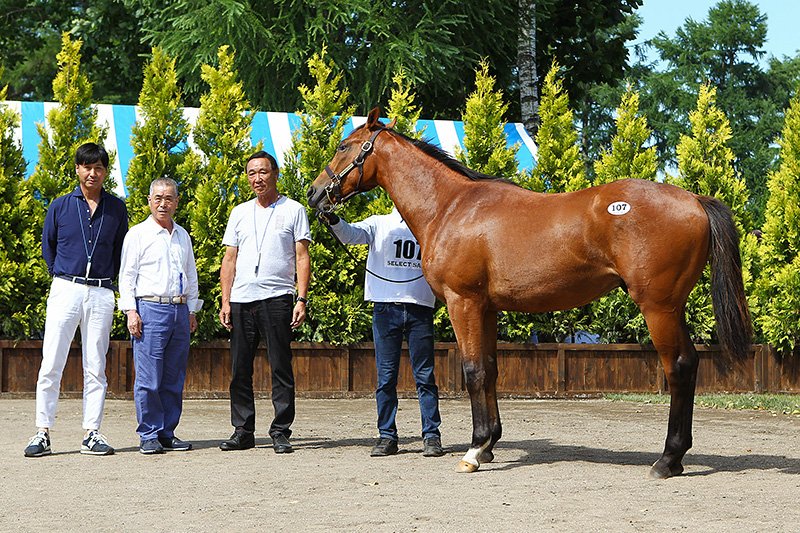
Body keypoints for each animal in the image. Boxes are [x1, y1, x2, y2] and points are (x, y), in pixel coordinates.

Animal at [307, 108, 752, 478]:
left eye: (344, 146)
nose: (314, 193)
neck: (451, 206)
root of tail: (694, 199)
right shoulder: (486, 308)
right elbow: (490, 370)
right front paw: (489, 443)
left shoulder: (463, 302)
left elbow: (473, 371)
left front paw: (473, 452)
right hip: (672, 306)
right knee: (690, 364)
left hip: (658, 306)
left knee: (678, 367)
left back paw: (667, 459)